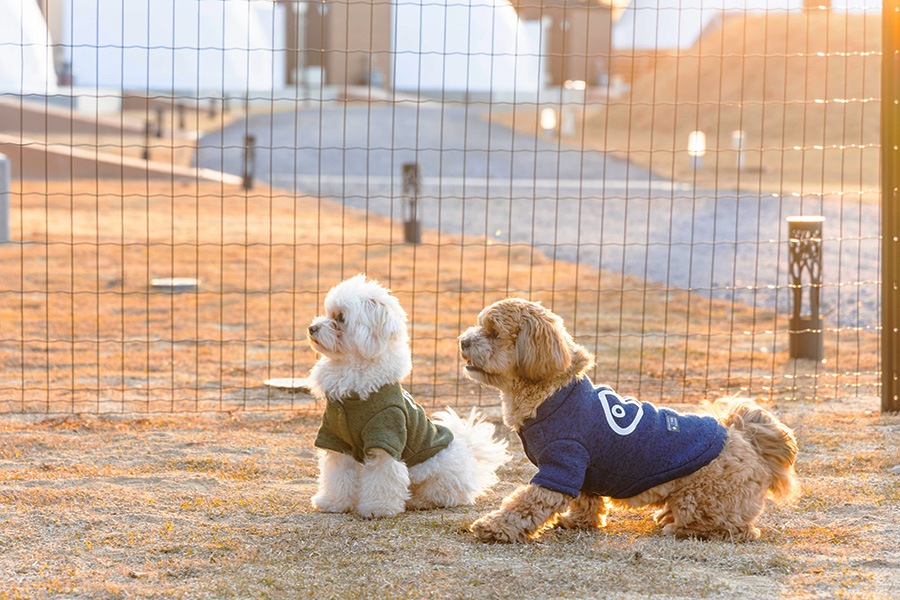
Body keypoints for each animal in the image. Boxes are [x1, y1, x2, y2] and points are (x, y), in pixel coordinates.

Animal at [306, 274, 510, 516]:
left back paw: (419, 501)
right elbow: (338, 475)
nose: (311, 327)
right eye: (328, 313)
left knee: (447, 495)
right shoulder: (336, 439)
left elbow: (382, 477)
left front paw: (378, 508)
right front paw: (332, 502)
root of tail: (469, 452)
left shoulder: (386, 435)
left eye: (341, 318)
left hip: (440, 474)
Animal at [460, 300, 800, 544]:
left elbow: (528, 502)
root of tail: (747, 440)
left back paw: (680, 528)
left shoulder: (563, 460)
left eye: (493, 332)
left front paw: (495, 527)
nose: (462, 341)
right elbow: (588, 499)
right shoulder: (587, 467)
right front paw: (579, 522)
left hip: (704, 498)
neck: (551, 394)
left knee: (735, 529)